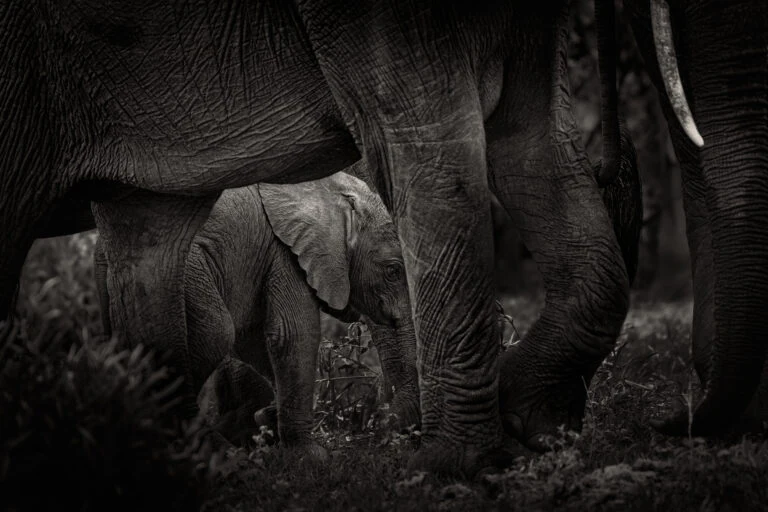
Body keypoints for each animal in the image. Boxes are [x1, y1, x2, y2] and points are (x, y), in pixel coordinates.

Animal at [94, 172, 420, 446]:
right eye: (393, 271)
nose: (387, 428)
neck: (331, 191)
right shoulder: (285, 252)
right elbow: (292, 333)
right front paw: (310, 456)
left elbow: (253, 340)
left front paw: (268, 417)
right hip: (187, 268)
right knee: (215, 334)